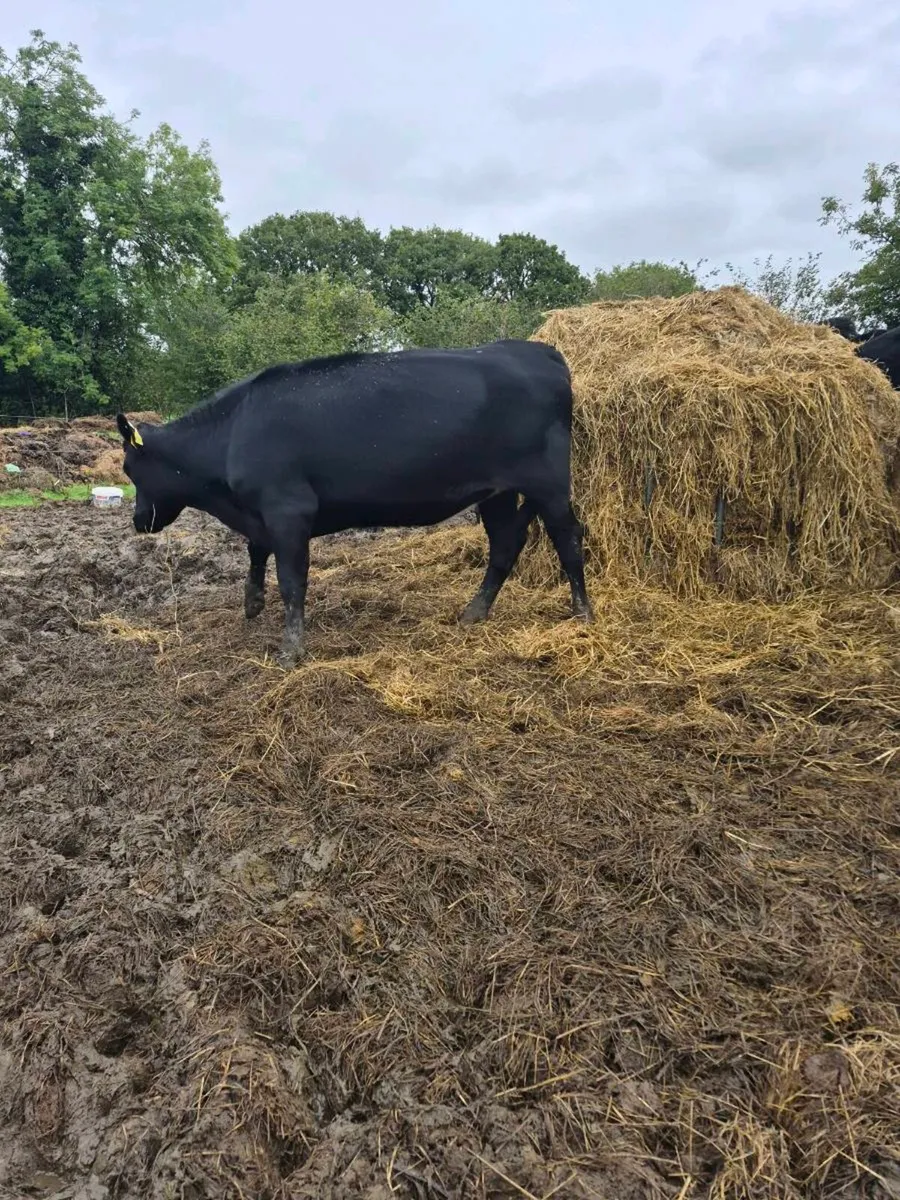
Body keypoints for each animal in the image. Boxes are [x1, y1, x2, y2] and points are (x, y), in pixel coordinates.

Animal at [116, 340, 593, 667]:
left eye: (128, 469)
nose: (139, 522)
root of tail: (535, 349)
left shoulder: (288, 509)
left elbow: (292, 580)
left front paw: (291, 649)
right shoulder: (263, 512)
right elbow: (255, 550)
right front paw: (252, 602)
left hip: (548, 483)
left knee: (568, 538)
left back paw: (582, 613)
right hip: (498, 493)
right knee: (505, 544)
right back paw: (474, 613)